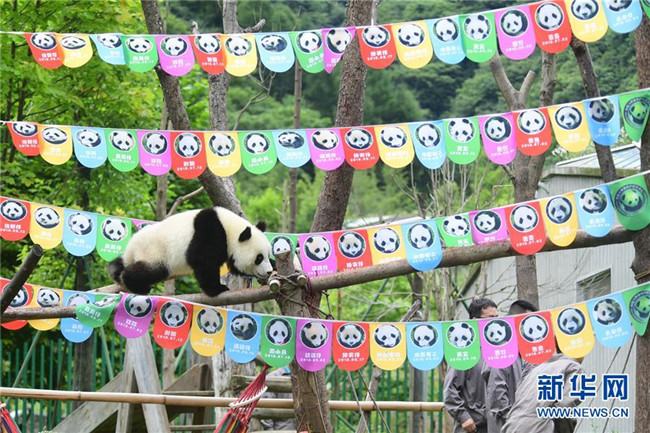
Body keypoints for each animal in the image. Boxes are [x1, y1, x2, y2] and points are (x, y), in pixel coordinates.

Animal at [108, 206, 272, 297]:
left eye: (267, 255)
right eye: (258, 258)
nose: (269, 271)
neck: (230, 229)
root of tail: (131, 248)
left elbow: (234, 266)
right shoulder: (210, 231)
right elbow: (202, 260)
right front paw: (217, 289)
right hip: (155, 252)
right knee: (152, 270)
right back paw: (136, 284)